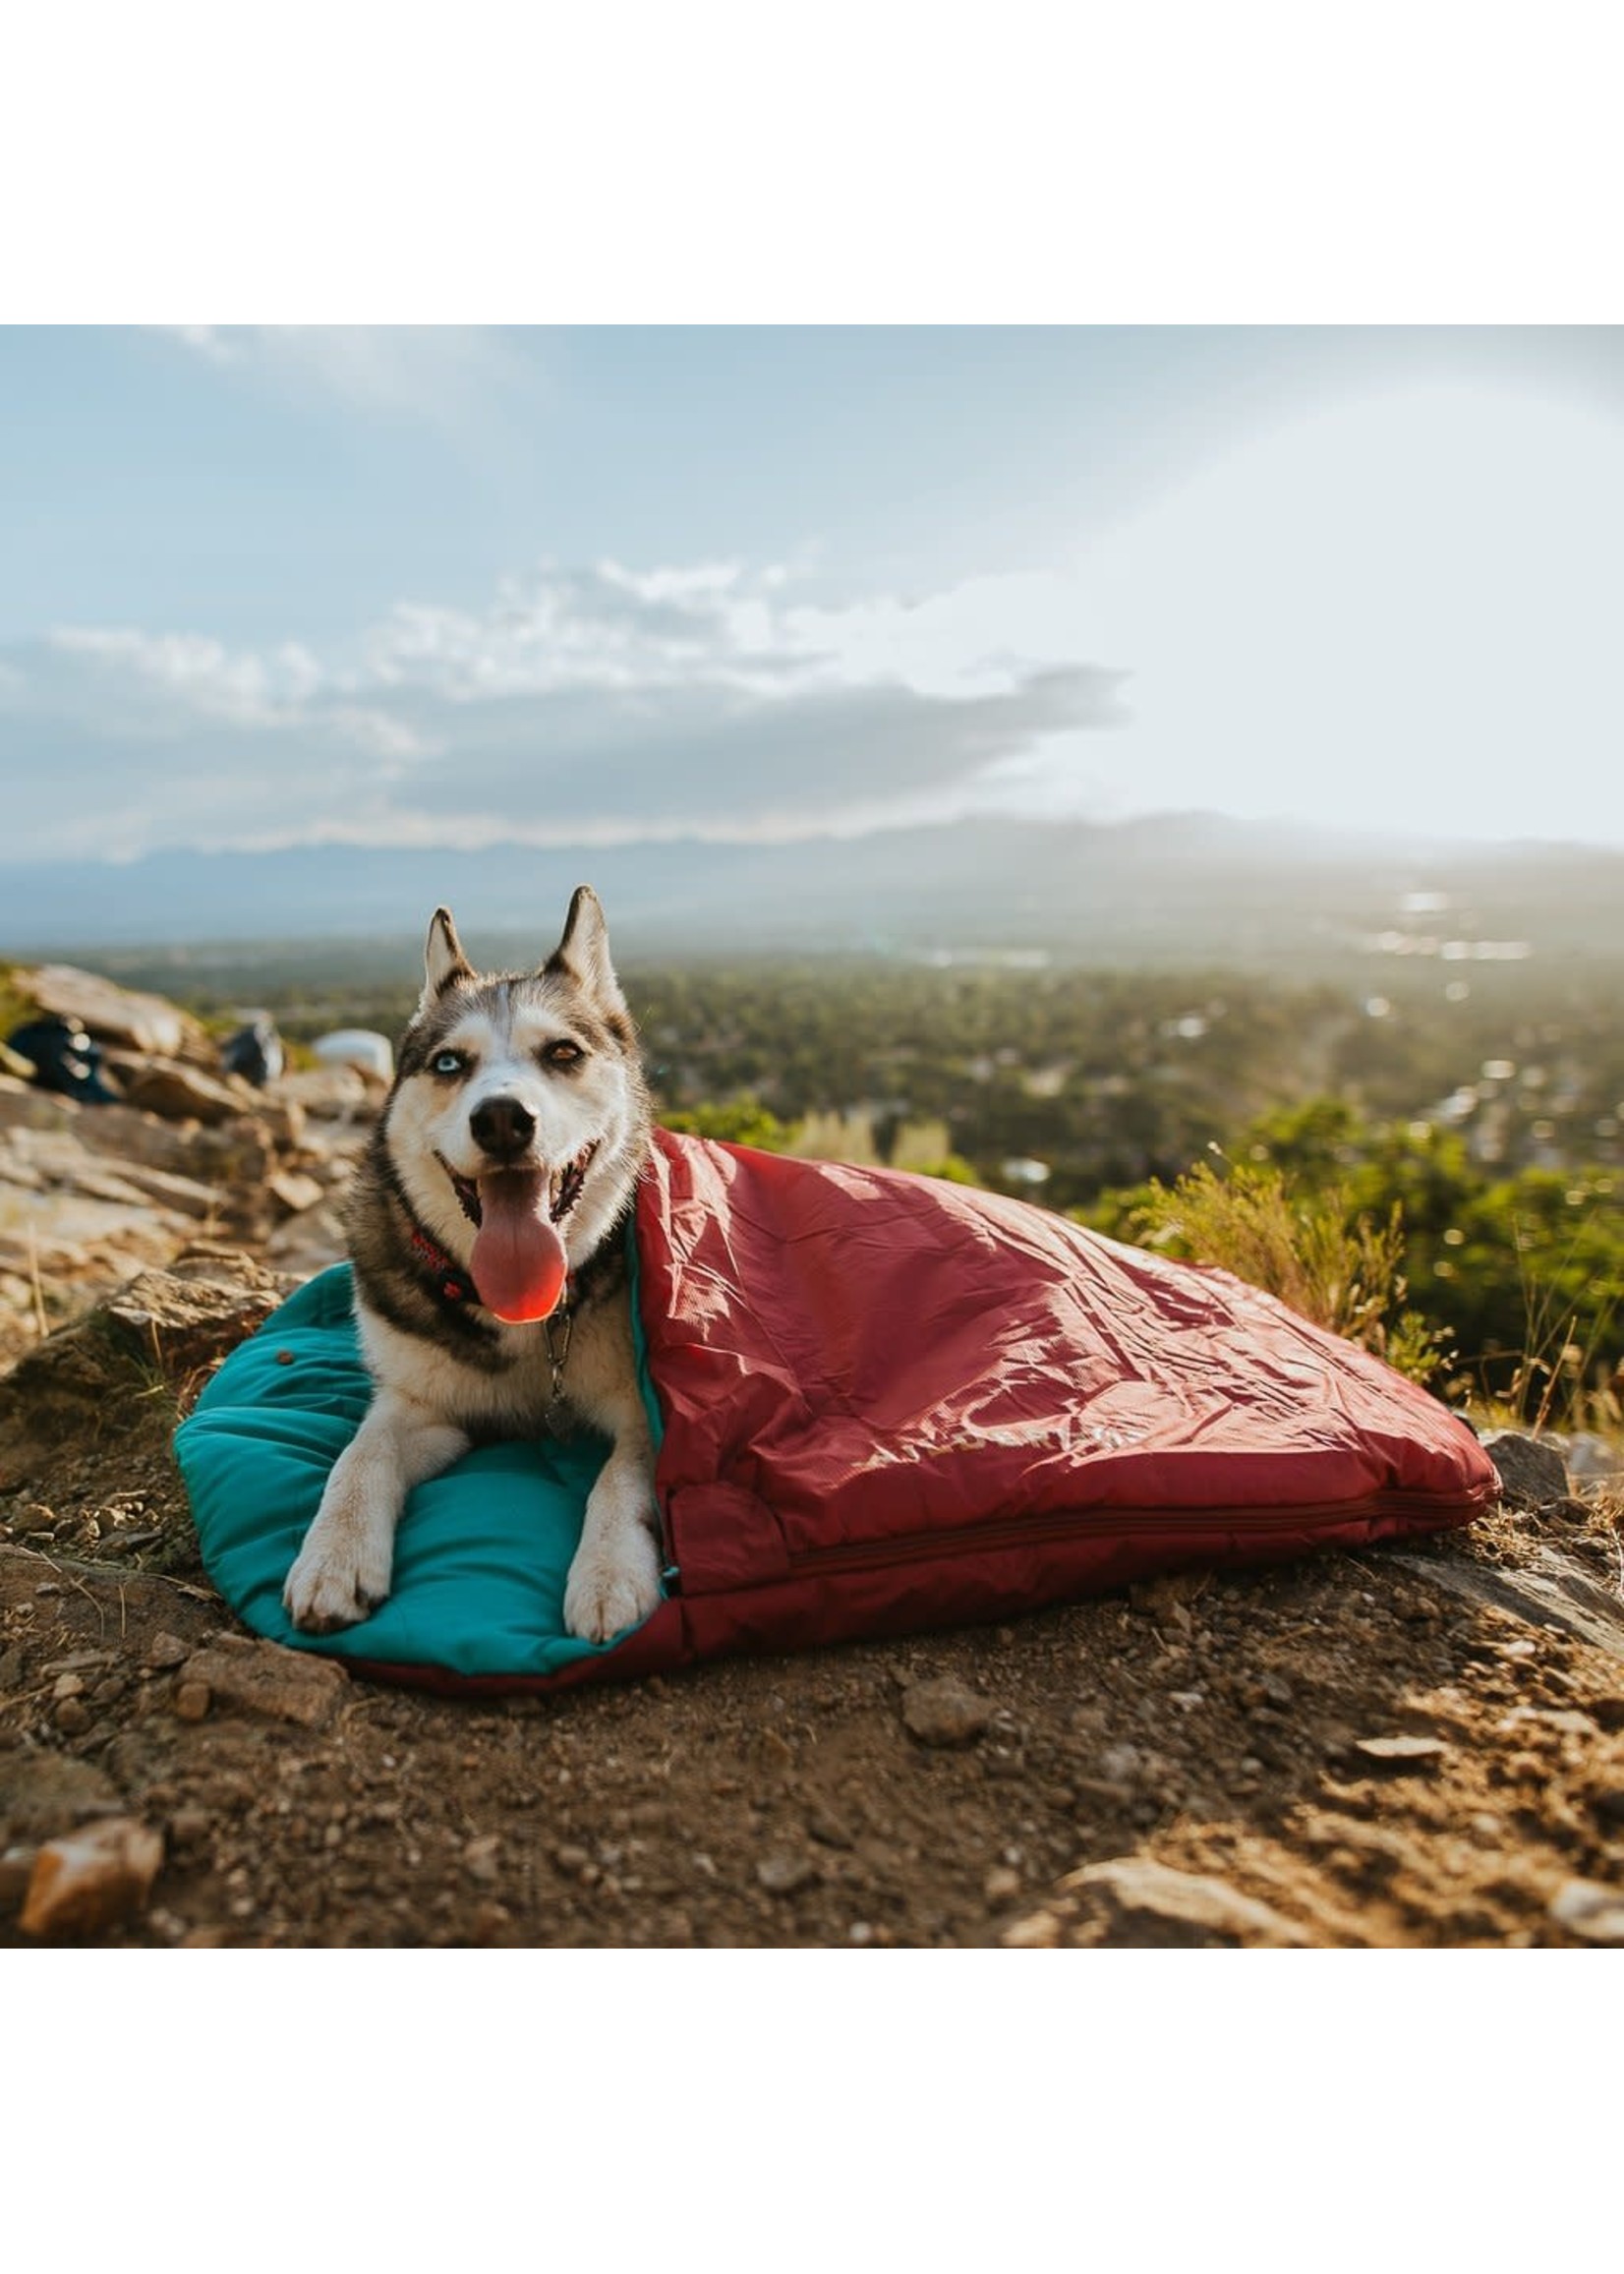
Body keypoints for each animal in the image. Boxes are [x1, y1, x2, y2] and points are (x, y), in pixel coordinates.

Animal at [284, 877, 659, 1646]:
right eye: (449, 1064)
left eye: (564, 1053)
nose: (503, 1119)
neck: (521, 1313)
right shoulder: (420, 1405)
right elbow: (357, 1457)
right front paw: (334, 1554)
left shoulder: (641, 1411)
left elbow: (623, 1477)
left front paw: (610, 1569)